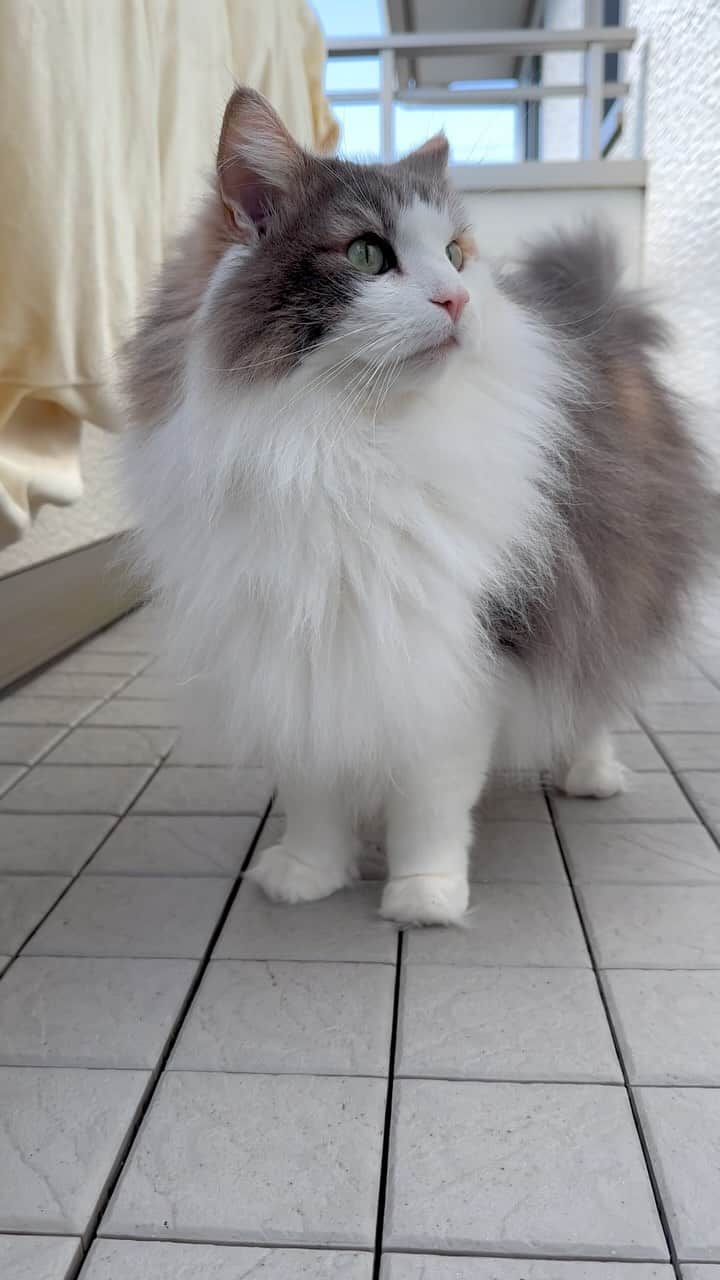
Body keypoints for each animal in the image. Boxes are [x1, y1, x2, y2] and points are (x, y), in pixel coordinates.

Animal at [121, 90, 707, 926]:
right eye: (368, 255)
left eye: (456, 255)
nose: (457, 298)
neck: (339, 451)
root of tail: (603, 311)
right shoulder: (300, 645)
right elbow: (313, 789)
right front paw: (307, 874)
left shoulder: (458, 654)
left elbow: (431, 798)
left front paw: (423, 898)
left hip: (614, 588)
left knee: (595, 686)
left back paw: (588, 773)